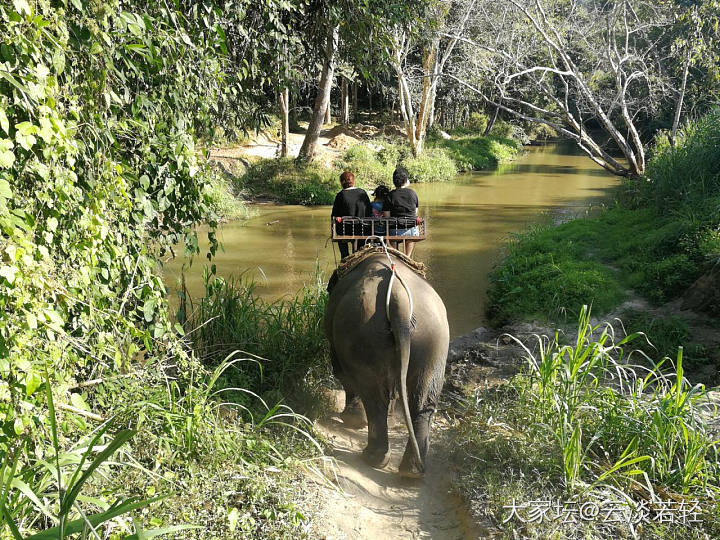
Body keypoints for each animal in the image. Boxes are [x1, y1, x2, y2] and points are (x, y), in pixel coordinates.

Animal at [324, 246, 448, 476]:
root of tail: (399, 299)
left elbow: (341, 372)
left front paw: (352, 420)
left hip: (364, 330)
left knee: (372, 394)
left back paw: (373, 458)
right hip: (433, 337)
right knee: (424, 398)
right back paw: (412, 470)